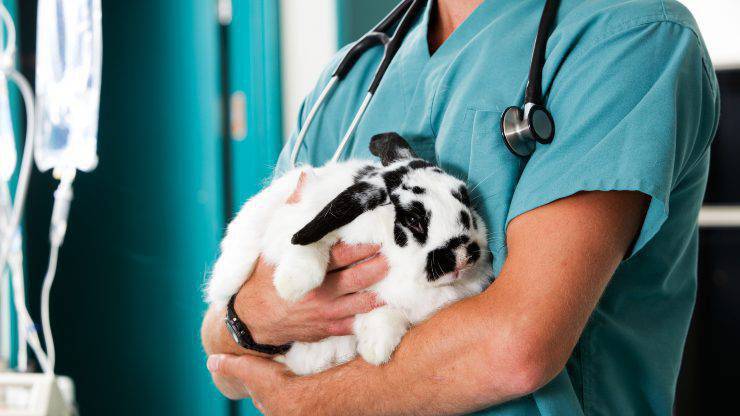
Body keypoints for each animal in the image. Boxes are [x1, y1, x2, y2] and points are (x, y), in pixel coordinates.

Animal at [206, 132, 493, 375]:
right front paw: (292, 285)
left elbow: (385, 312)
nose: (462, 255)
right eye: (413, 219)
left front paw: (376, 348)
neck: (399, 263)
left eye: (465, 198)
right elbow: (309, 244)